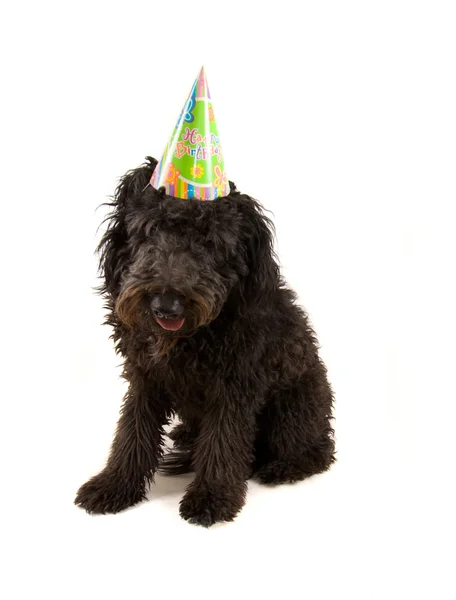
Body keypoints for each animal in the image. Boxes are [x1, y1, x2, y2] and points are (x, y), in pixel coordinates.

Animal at [75, 158, 334, 524]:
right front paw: (113, 485)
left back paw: (284, 466)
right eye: (150, 230)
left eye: (209, 243)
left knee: (317, 451)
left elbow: (223, 441)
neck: (188, 338)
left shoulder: (235, 386)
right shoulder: (144, 376)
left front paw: (212, 496)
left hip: (294, 406)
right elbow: (132, 433)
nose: (166, 303)